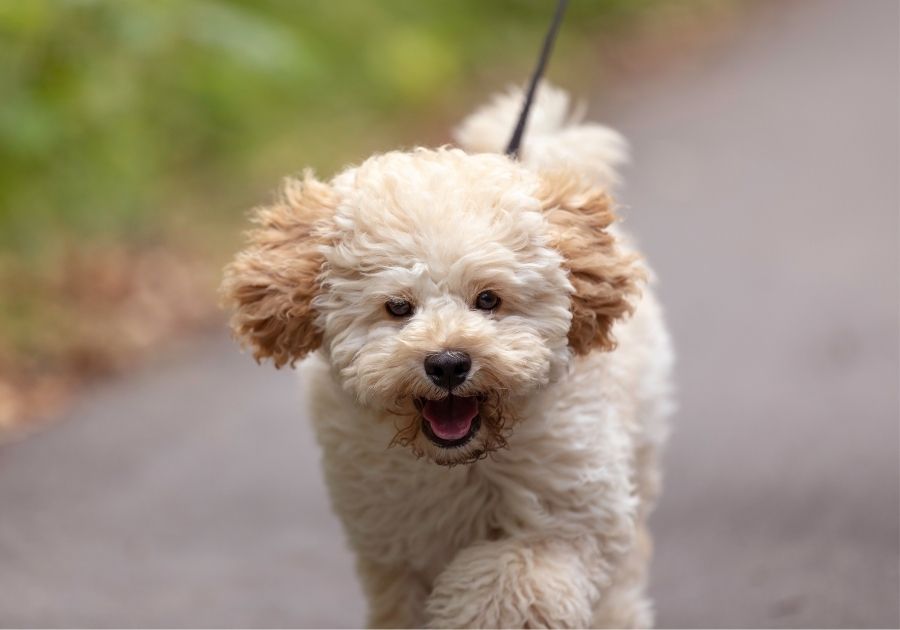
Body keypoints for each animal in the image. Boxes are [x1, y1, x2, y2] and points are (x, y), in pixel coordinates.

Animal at [221, 85, 672, 630]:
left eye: (488, 299)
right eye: (397, 307)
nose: (448, 363)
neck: (459, 465)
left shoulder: (570, 520)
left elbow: (508, 580)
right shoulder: (395, 547)